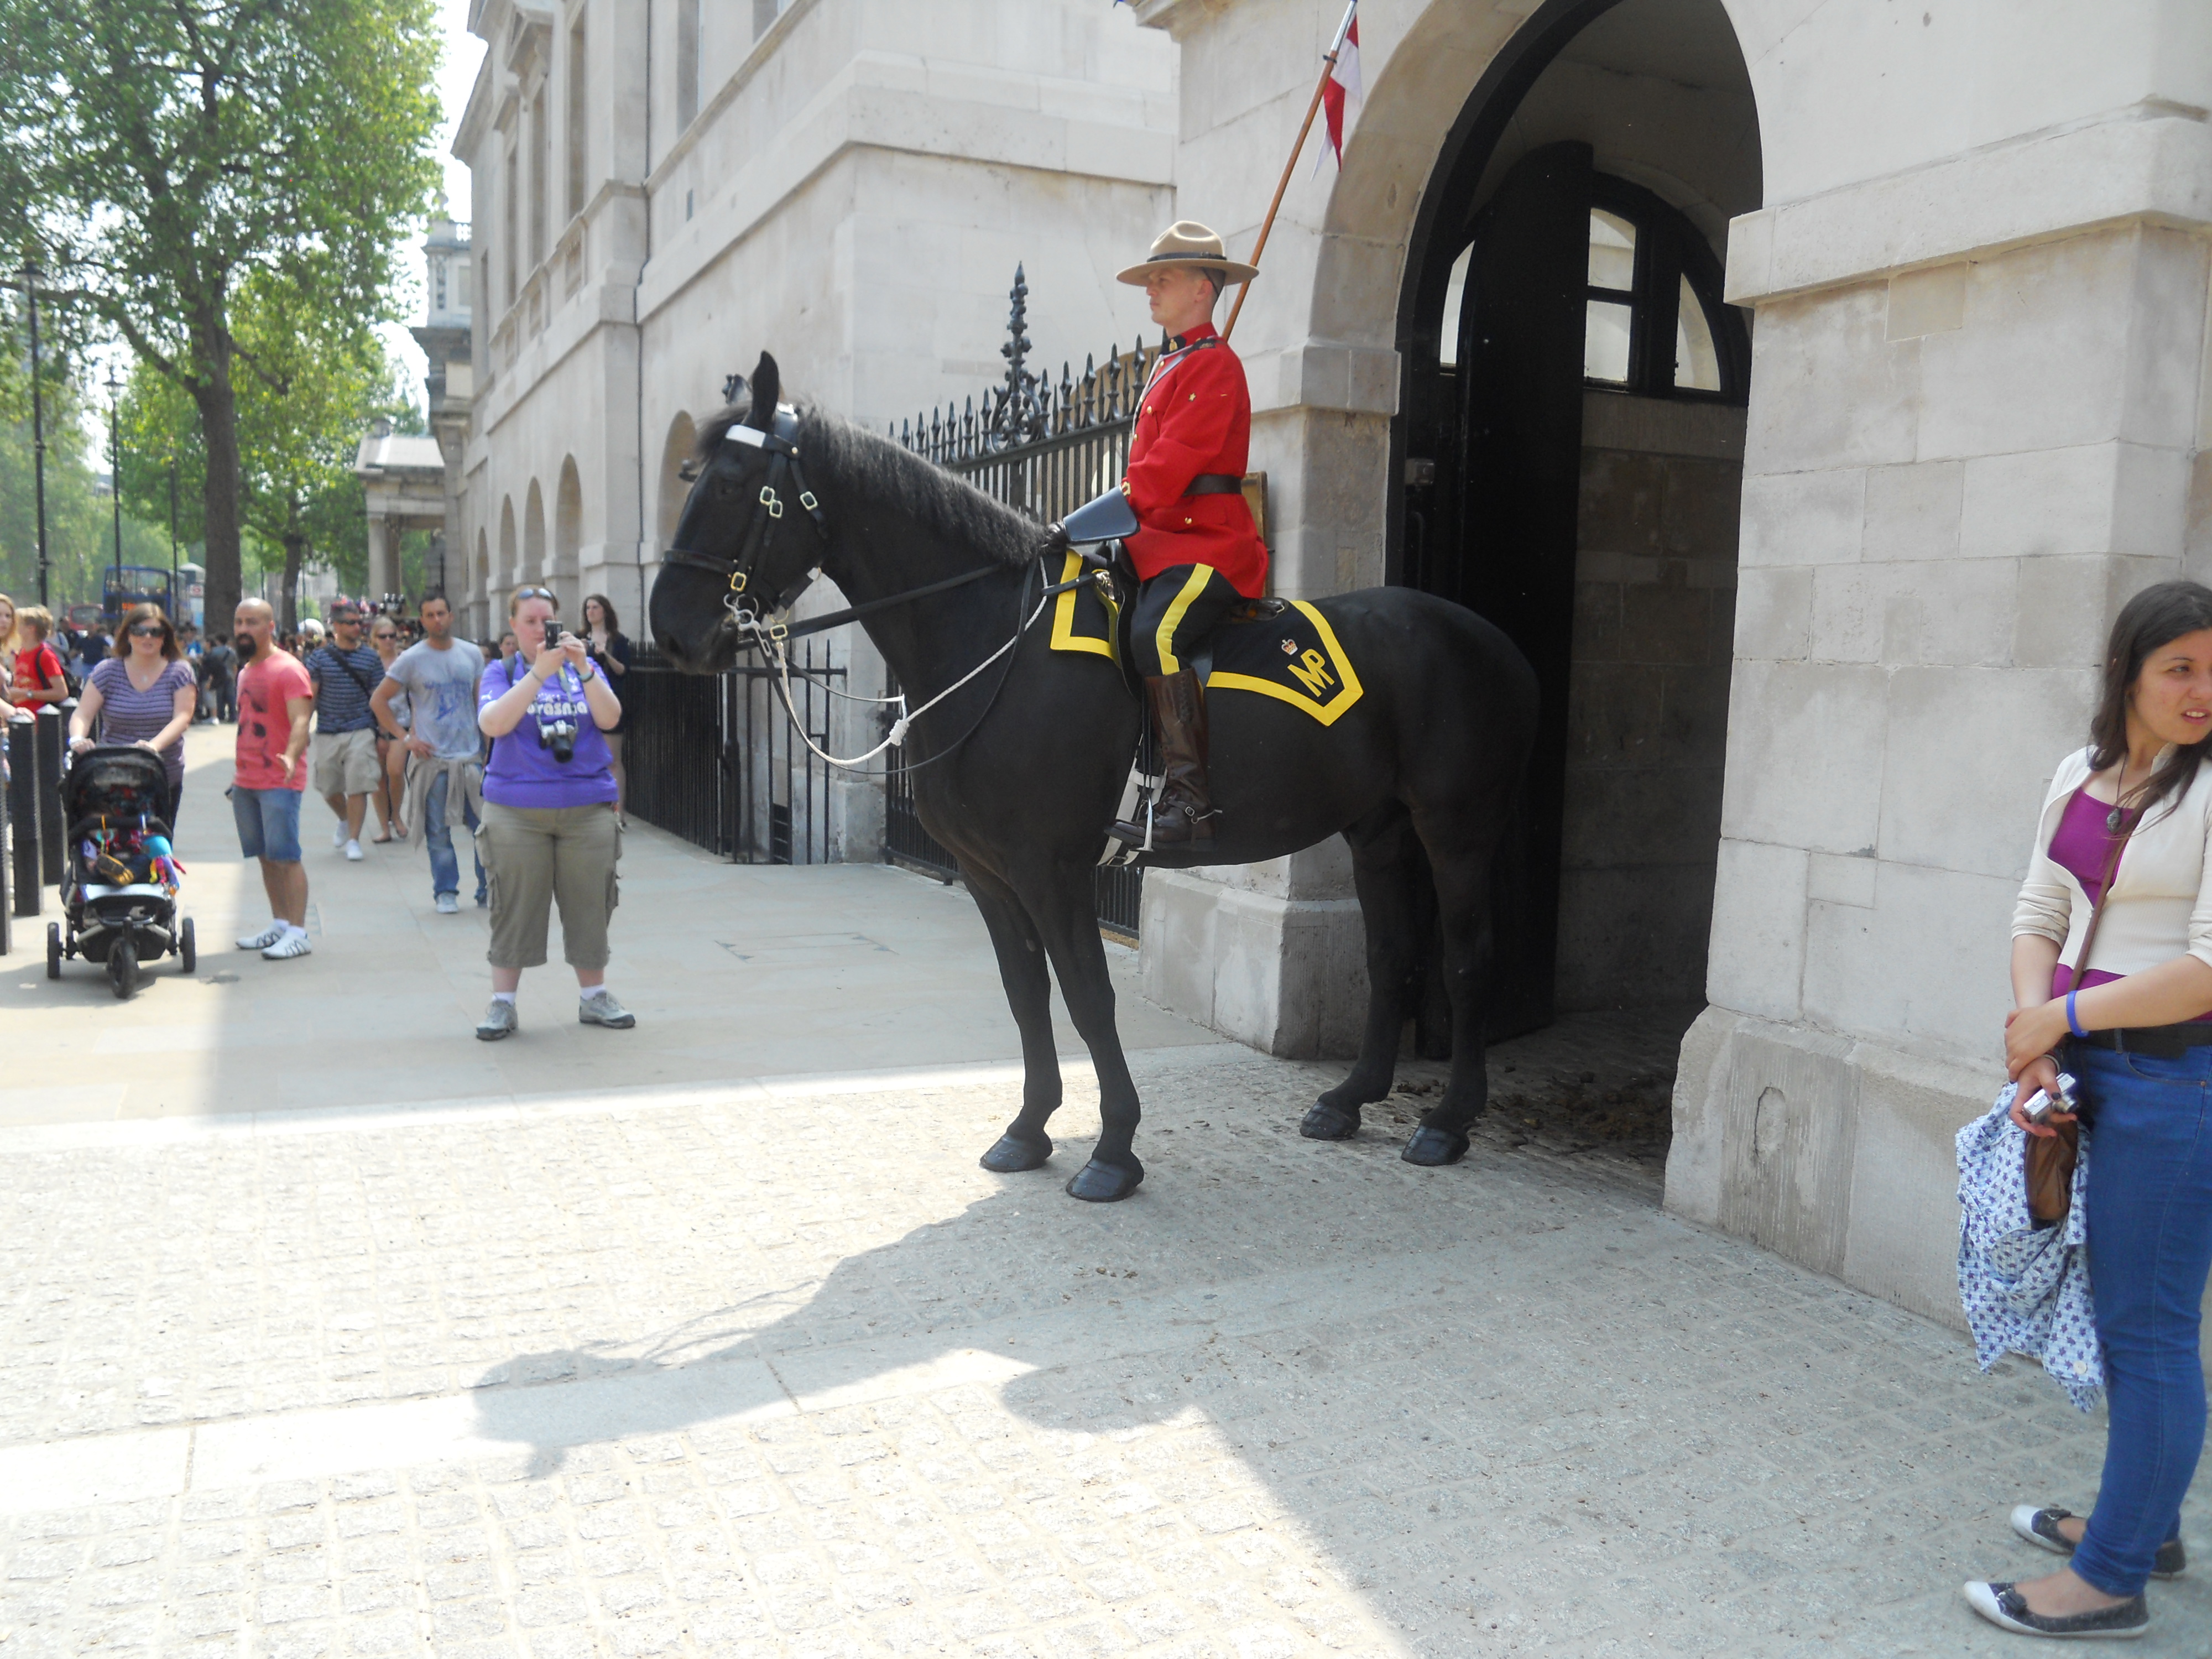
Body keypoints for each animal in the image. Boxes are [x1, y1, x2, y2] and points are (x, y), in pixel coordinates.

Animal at [651, 352, 1539, 1203]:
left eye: (731, 484)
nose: (671, 631)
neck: (990, 645)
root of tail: (1489, 638)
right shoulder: (988, 874)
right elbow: (1026, 994)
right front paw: (1029, 1129)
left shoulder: (1053, 868)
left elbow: (1086, 996)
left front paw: (1113, 1151)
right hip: (1376, 828)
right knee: (1391, 954)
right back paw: (1351, 1099)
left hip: (1456, 828)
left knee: (1467, 959)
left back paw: (1447, 1122)